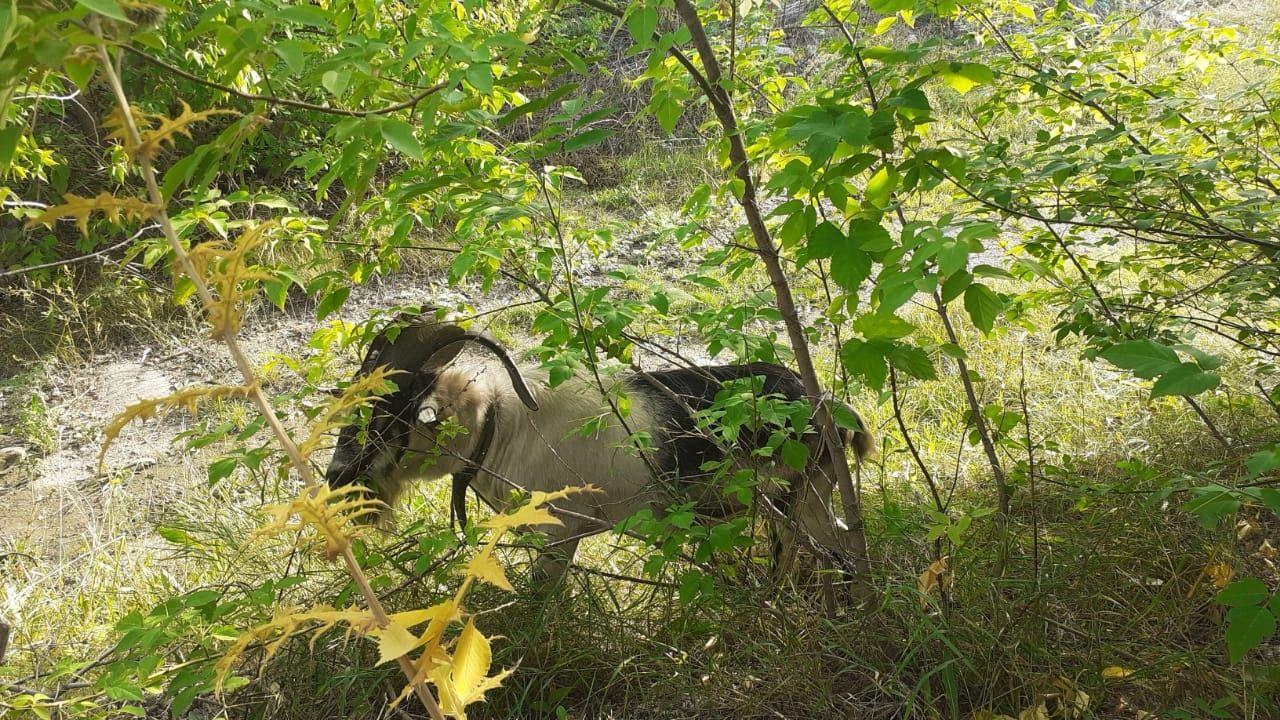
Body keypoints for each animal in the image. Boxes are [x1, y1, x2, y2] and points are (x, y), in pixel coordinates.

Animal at [325, 308, 875, 576]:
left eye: (384, 414)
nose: (336, 477)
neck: (501, 426)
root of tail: (828, 405)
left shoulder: (561, 531)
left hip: (806, 494)